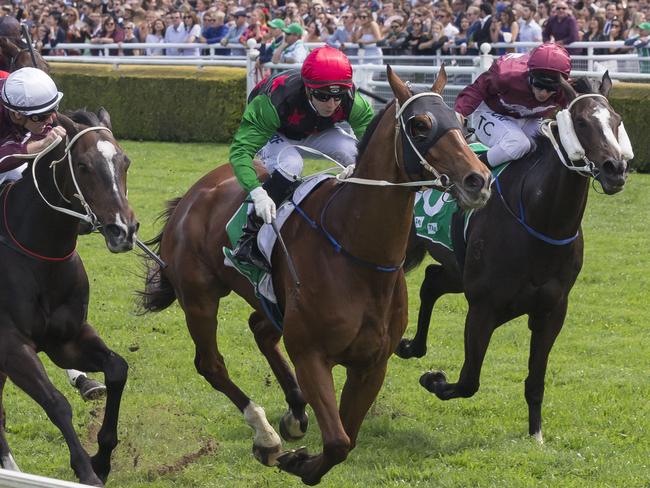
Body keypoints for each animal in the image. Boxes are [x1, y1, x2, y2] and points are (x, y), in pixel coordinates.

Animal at [0, 108, 137, 486]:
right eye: (83, 166)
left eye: (125, 161)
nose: (122, 230)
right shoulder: (10, 344)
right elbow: (56, 402)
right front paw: (86, 469)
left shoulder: (66, 339)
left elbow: (117, 368)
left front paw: (102, 458)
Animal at [139, 67, 488, 484]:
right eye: (420, 125)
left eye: (462, 123)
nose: (478, 179)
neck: (357, 255)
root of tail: (192, 195)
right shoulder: (310, 354)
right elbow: (337, 441)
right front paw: (297, 462)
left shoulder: (372, 364)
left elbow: (347, 438)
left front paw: (302, 453)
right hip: (199, 297)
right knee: (211, 364)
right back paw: (266, 436)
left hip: (271, 301)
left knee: (261, 329)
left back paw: (294, 410)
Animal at [392, 73, 632, 442]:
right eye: (580, 122)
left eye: (616, 121)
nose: (615, 169)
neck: (538, 220)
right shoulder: (484, 306)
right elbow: (468, 381)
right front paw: (434, 379)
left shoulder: (551, 311)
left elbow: (536, 380)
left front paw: (536, 434)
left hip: (458, 268)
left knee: (431, 281)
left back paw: (411, 346)